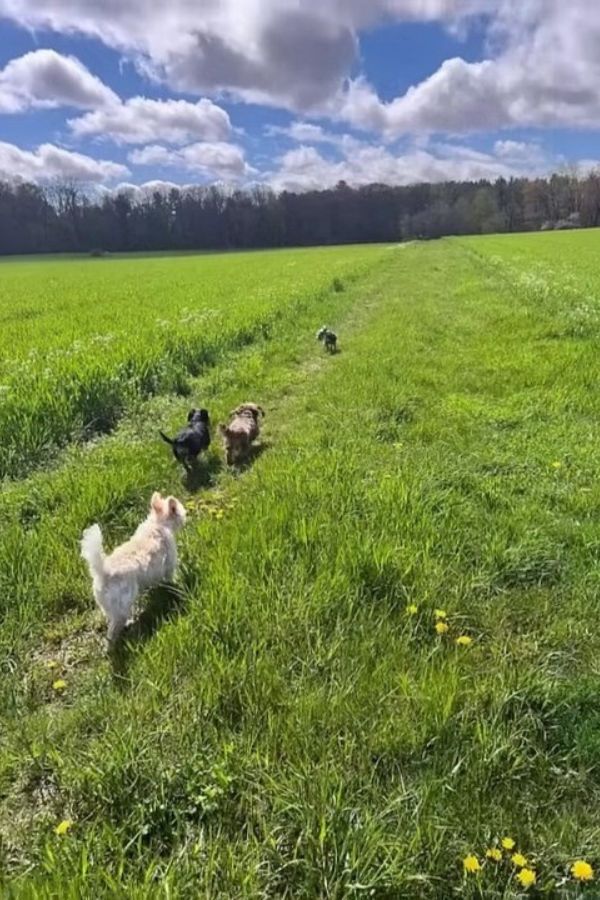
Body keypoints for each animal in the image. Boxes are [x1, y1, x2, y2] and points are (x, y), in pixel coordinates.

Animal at [81, 492, 186, 640]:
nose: (185, 514)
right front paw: (175, 584)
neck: (158, 522)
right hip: (122, 606)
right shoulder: (169, 564)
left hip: (108, 606)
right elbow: (170, 578)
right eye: (180, 510)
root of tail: (103, 571)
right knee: (112, 632)